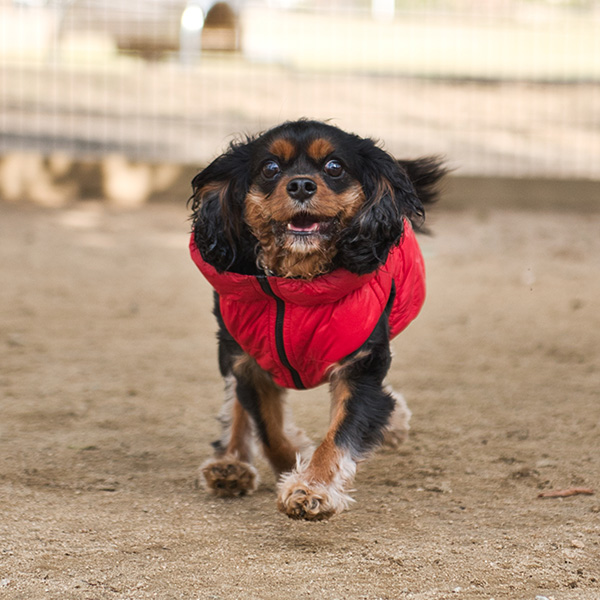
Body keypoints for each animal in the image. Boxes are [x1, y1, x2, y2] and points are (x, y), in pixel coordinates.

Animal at [188, 118, 446, 520]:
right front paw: (295, 459)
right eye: (270, 168)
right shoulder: (248, 361)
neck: (297, 288)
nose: (300, 185)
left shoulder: (360, 365)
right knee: (236, 402)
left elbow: (341, 433)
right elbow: (269, 431)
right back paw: (230, 464)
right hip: (228, 343)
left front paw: (312, 488)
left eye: (334, 167)